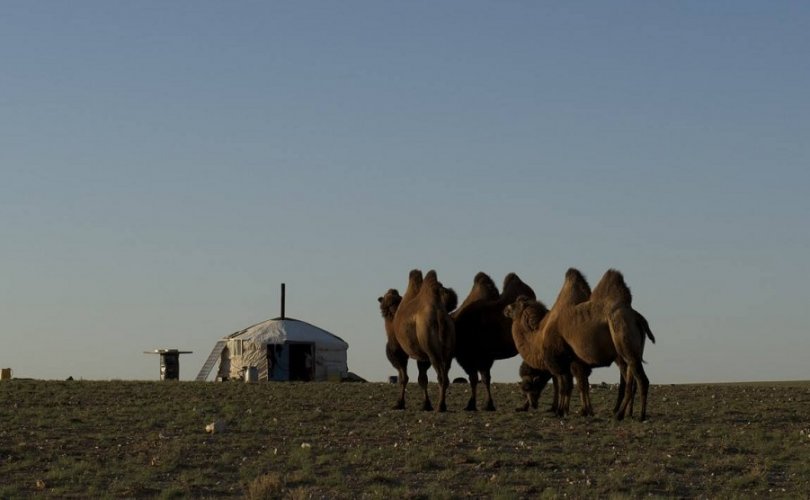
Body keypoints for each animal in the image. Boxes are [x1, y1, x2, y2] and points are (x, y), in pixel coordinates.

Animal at [378, 272, 454, 412]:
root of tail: (440, 316)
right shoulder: (423, 357)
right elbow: (422, 379)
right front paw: (426, 405)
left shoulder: (400, 351)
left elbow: (403, 378)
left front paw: (399, 403)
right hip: (448, 352)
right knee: (445, 376)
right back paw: (442, 405)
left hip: (433, 351)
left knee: (441, 377)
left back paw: (440, 406)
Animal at [452, 274, 532, 410]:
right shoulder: (471, 358)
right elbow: (475, 379)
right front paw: (473, 404)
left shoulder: (481, 358)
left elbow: (483, 379)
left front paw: (486, 405)